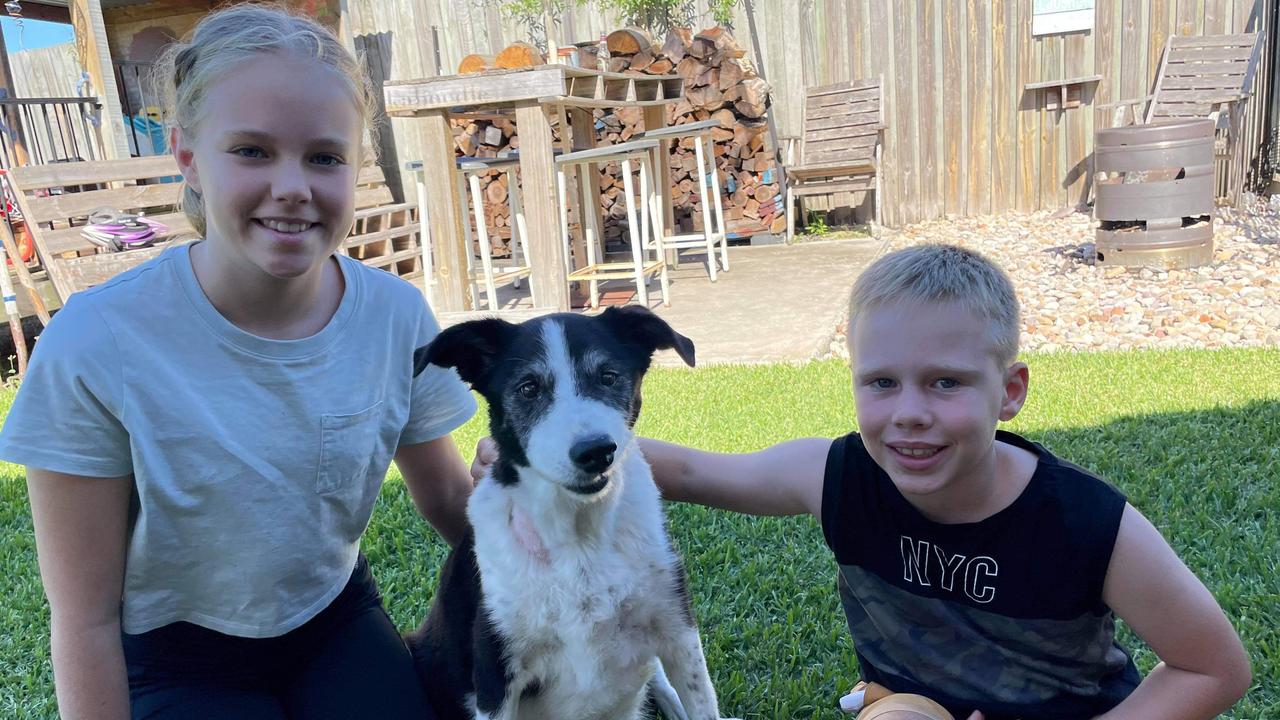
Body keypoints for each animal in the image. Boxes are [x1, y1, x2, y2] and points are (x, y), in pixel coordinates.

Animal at [404, 303, 737, 717]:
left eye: (608, 377)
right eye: (528, 388)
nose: (595, 452)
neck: (580, 534)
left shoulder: (679, 632)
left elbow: (701, 700)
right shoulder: (495, 674)